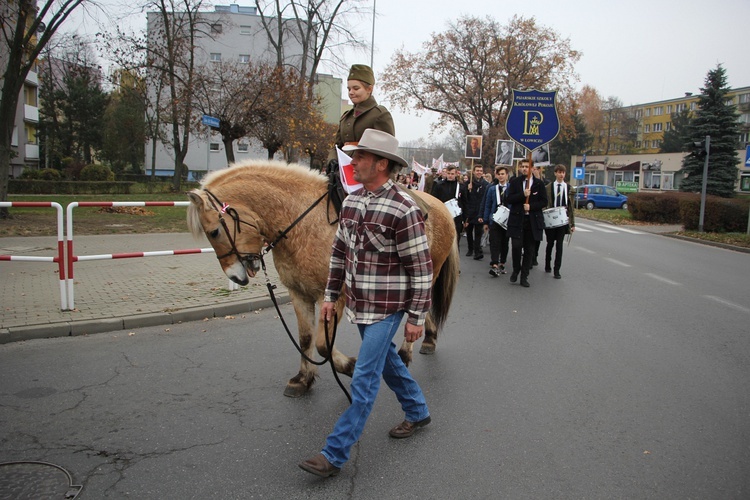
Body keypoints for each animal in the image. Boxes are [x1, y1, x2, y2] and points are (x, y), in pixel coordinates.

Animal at [187, 160, 458, 398]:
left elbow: (322, 345)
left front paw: (350, 366)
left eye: (214, 231)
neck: (301, 222)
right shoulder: (299, 294)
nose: (236, 276)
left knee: (418, 312)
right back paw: (428, 339)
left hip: (427, 273)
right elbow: (306, 338)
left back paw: (405, 352)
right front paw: (302, 379)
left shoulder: (333, 297)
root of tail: (440, 206)